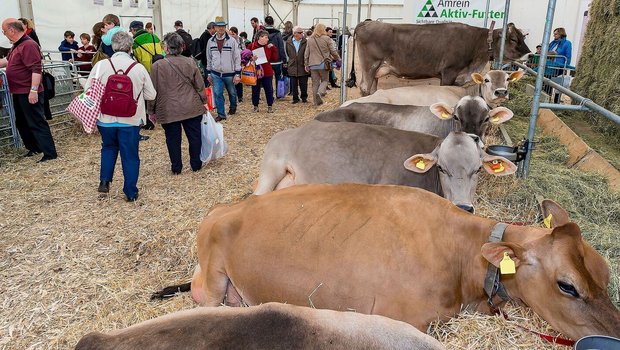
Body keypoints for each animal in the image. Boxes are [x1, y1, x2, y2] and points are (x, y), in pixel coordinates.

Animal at [352, 21, 532, 95]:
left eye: (523, 37)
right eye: (513, 39)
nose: (530, 54)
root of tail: (368, 22)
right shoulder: (449, 72)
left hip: (377, 69)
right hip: (370, 65)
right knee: (365, 88)